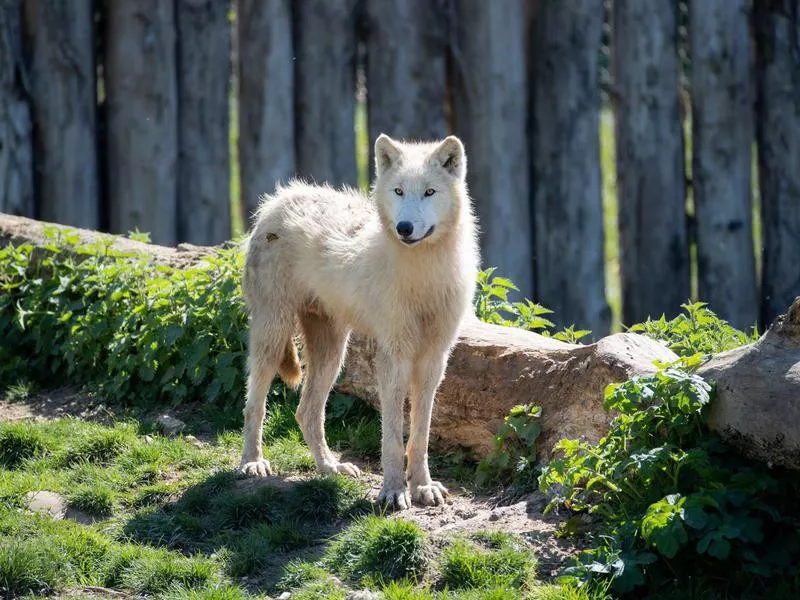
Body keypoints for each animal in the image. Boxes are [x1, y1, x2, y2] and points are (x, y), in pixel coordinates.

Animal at [236, 134, 476, 508]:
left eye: (429, 192)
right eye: (398, 191)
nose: (404, 228)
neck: (423, 275)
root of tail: (277, 200)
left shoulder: (434, 359)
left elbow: (420, 434)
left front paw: (423, 487)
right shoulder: (394, 356)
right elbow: (391, 436)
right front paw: (393, 491)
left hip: (333, 355)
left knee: (305, 412)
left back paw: (330, 467)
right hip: (273, 338)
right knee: (254, 405)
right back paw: (253, 462)